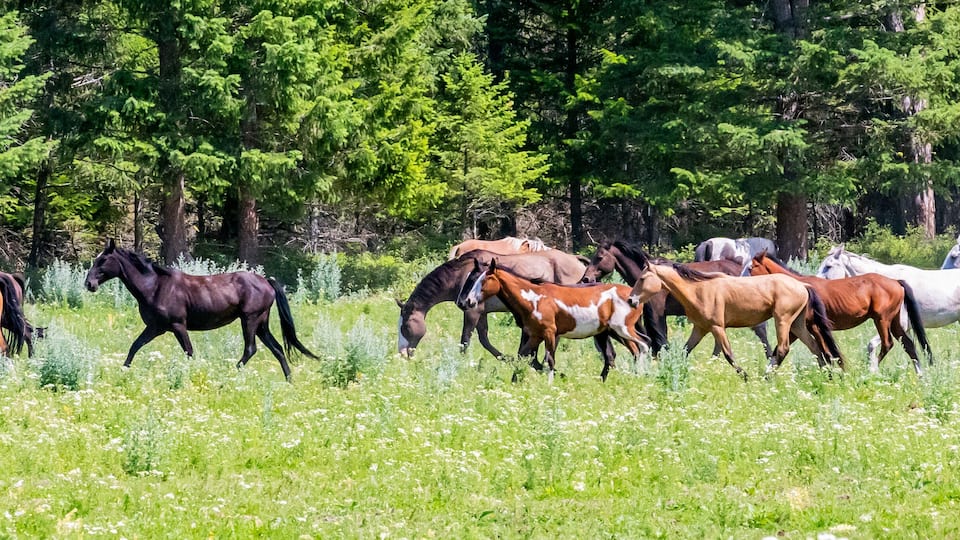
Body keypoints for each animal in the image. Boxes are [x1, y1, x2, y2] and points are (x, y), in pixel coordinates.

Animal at [83, 239, 317, 380]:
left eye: (104, 259)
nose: (89, 284)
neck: (155, 286)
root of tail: (267, 282)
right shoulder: (156, 328)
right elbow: (134, 346)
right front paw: (123, 371)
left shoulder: (178, 325)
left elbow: (189, 352)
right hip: (261, 323)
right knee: (277, 349)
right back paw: (289, 380)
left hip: (250, 320)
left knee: (250, 349)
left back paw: (230, 375)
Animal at [397, 248, 588, 358]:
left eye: (405, 327)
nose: (403, 353)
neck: (461, 276)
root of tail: (577, 260)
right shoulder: (480, 313)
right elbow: (484, 340)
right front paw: (507, 359)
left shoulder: (471, 312)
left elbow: (465, 340)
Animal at [457, 258, 649, 381]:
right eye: (474, 278)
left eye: (483, 279)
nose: (467, 301)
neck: (534, 299)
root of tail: (634, 296)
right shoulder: (535, 335)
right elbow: (523, 356)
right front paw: (514, 381)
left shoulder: (550, 333)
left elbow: (548, 360)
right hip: (608, 332)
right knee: (622, 354)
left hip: (622, 329)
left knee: (643, 345)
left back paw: (641, 375)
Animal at [627, 255, 842, 379]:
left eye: (642, 278)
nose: (631, 300)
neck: (698, 290)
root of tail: (802, 285)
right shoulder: (700, 328)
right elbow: (685, 351)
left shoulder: (717, 327)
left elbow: (728, 353)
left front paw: (744, 375)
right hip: (797, 324)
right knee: (815, 347)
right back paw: (827, 376)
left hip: (783, 320)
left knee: (782, 349)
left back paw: (766, 377)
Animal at [744, 251, 931, 373]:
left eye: (751, 267)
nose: (741, 281)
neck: (800, 288)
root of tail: (896, 282)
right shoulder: (797, 329)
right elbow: (778, 350)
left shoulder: (814, 327)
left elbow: (826, 352)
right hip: (894, 322)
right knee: (909, 345)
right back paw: (920, 376)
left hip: (882, 319)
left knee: (888, 344)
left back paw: (873, 370)